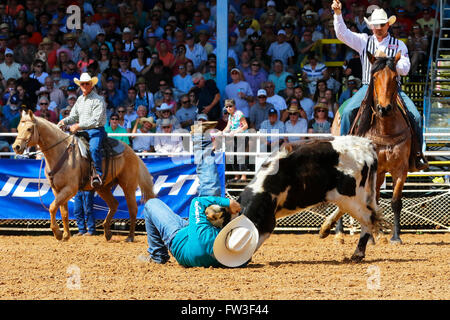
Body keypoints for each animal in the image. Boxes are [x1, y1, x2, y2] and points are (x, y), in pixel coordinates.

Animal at [11, 110, 156, 242]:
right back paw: (107, 232)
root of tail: (132, 152)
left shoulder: (70, 188)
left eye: (29, 128)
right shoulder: (57, 189)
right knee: (114, 204)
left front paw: (57, 233)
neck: (62, 152)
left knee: (133, 209)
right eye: (18, 128)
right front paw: (66, 235)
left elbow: (52, 207)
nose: (16, 147)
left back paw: (130, 237)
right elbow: (63, 212)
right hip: (102, 188)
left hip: (128, 186)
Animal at [326, 51, 412, 244]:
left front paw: (395, 237)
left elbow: (395, 201)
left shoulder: (400, 168)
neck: (385, 129)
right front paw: (372, 237)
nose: (384, 108)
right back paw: (339, 233)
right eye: (374, 77)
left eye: (395, 77)